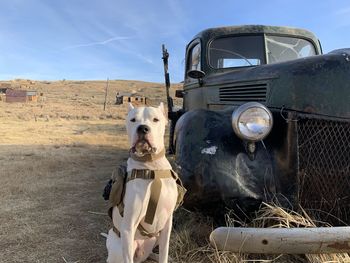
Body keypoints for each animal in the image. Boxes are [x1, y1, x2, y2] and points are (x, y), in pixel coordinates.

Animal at [106, 103, 178, 263]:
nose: (143, 128)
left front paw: (164, 256)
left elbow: (164, 253)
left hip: (154, 239)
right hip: (121, 244)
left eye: (156, 119)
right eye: (133, 120)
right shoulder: (128, 228)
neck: (151, 167)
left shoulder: (167, 225)